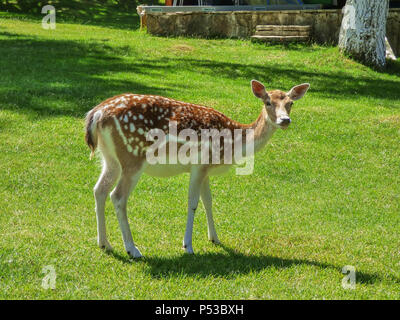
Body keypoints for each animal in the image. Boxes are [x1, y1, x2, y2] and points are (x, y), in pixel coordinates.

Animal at [84, 80, 310, 258]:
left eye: (290, 103)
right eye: (268, 102)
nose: (285, 120)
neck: (232, 144)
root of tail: (96, 114)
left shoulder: (205, 169)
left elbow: (208, 201)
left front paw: (215, 238)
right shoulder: (199, 164)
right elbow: (193, 203)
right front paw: (188, 246)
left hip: (110, 158)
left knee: (99, 190)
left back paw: (105, 244)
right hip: (133, 157)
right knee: (118, 196)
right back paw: (132, 249)